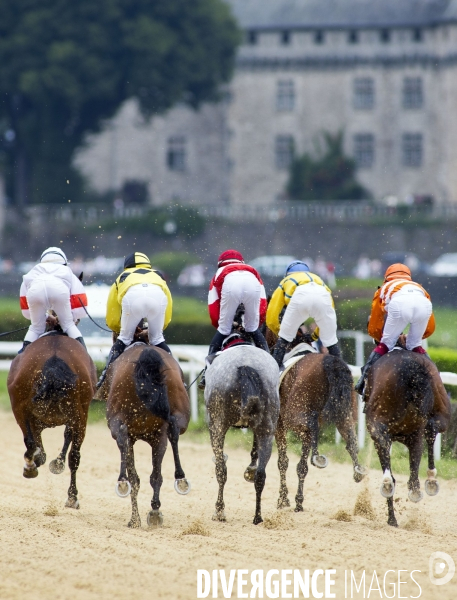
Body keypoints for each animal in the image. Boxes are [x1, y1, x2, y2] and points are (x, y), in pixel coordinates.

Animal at [7, 332, 96, 506]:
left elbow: (39, 449)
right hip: (80, 417)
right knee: (74, 455)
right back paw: (72, 497)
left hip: (21, 409)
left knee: (32, 443)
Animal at [264, 328, 364, 510]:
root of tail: (330, 363)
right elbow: (301, 466)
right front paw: (297, 500)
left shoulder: (279, 424)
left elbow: (283, 461)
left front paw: (283, 499)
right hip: (345, 413)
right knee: (351, 440)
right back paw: (358, 470)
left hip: (294, 415)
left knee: (312, 426)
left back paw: (317, 456)